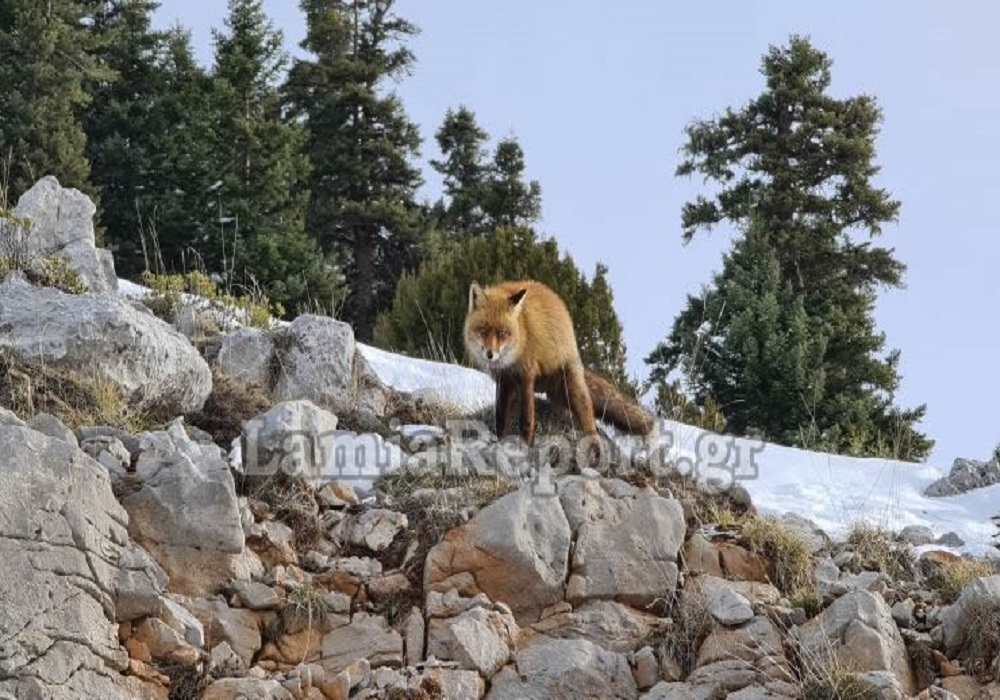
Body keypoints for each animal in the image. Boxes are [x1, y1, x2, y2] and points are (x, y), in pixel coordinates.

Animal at [462, 278, 656, 446]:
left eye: (502, 333)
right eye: (482, 330)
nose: (490, 354)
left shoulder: (526, 375)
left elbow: (526, 419)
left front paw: (525, 445)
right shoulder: (504, 380)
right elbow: (500, 417)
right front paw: (499, 439)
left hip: (572, 390)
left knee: (589, 417)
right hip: (557, 395)